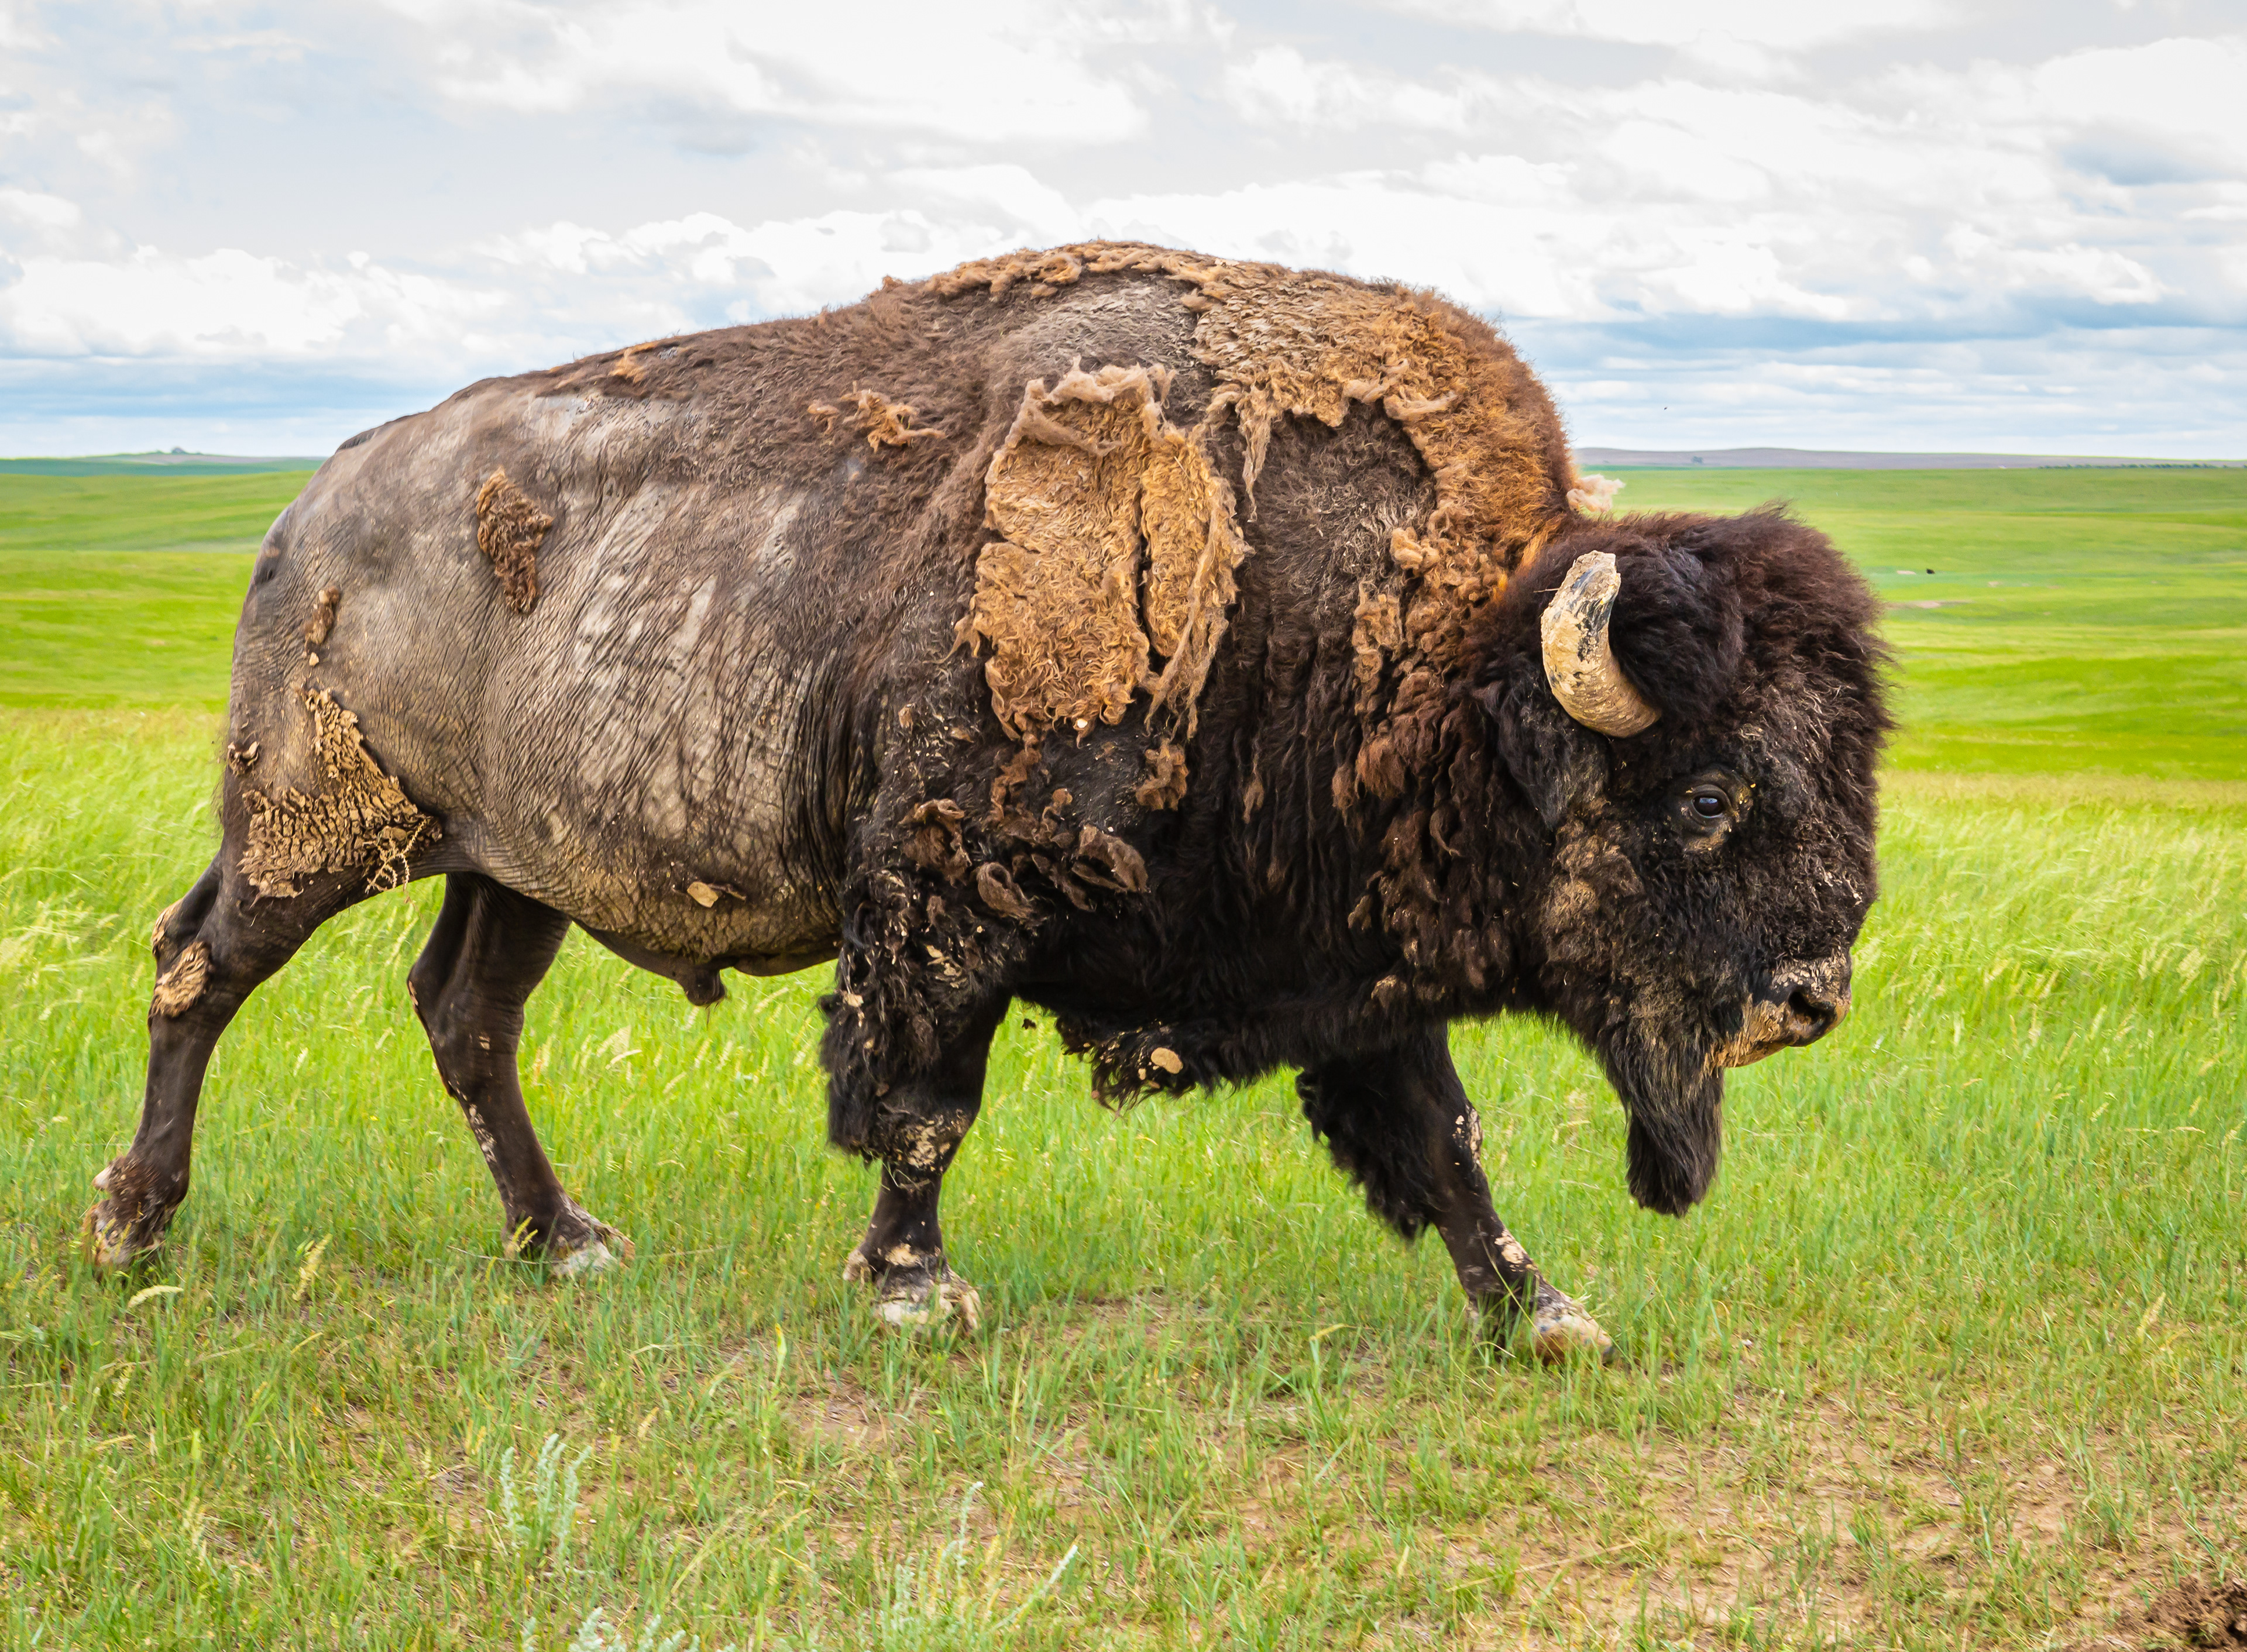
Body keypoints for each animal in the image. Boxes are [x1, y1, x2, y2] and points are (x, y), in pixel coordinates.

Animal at [91, 243, 1885, 1361]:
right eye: (1707, 790)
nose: (1813, 994)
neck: (1431, 664)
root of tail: (312, 508)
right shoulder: (946, 904)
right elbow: (923, 1105)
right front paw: (915, 1295)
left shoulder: (1355, 972)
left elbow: (1442, 1140)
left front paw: (1542, 1314)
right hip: (316, 824)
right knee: (202, 969)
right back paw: (133, 1231)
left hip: (514, 866)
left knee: (465, 1014)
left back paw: (568, 1240)